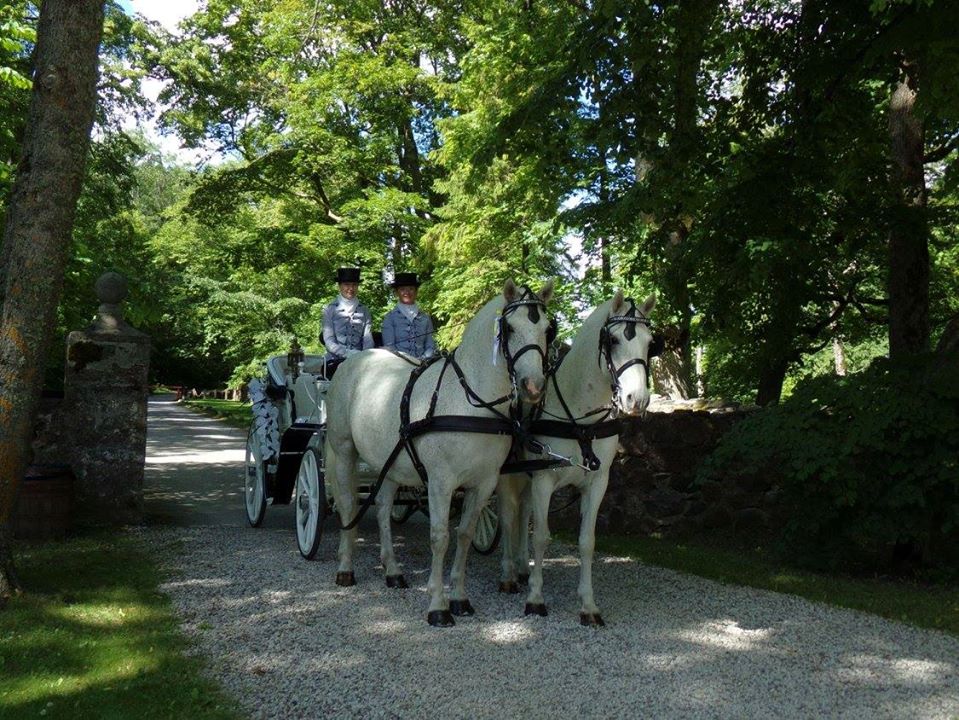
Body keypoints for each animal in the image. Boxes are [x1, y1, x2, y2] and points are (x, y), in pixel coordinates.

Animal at [324, 278, 556, 628]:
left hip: (387, 462)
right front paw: (437, 605)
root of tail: (356, 359)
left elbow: (464, 535)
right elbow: (440, 537)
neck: (470, 401)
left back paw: (392, 571)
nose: (533, 387)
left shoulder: (483, 483)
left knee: (383, 509)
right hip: (344, 450)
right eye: (510, 328)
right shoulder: (440, 482)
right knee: (350, 506)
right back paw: (345, 569)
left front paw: (459, 597)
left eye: (546, 329)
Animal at [498, 290, 656, 628]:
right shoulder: (544, 478)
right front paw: (535, 598)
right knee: (507, 516)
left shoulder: (597, 482)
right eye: (613, 340)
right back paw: (508, 574)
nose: (636, 400)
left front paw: (588, 605)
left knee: (523, 514)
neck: (580, 417)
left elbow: (587, 541)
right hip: (508, 475)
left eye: (651, 343)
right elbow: (542, 537)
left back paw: (522, 567)